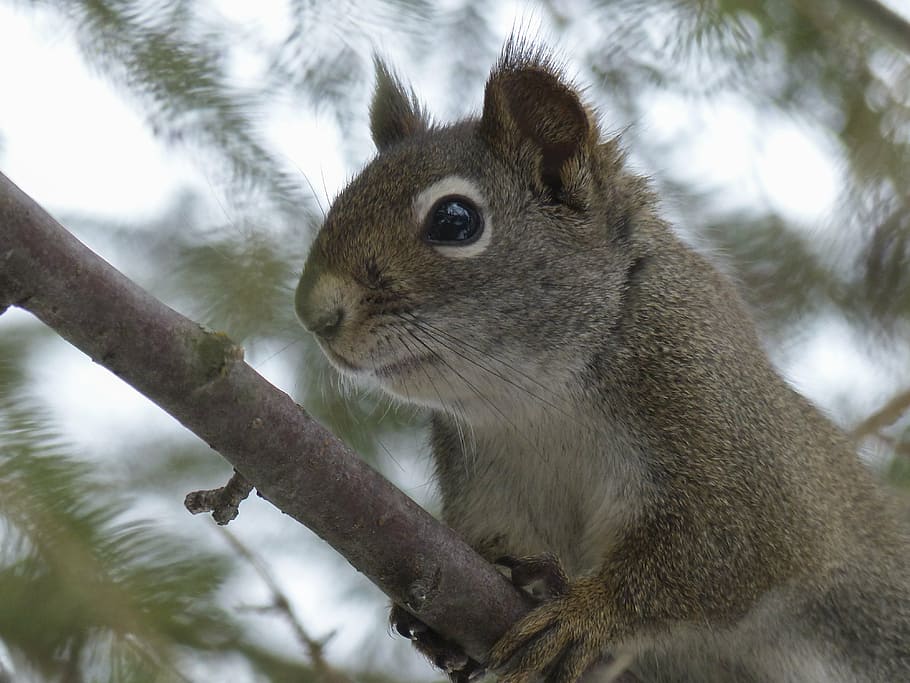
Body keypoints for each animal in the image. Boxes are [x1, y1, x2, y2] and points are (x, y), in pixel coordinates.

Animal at [294, 38, 910, 683]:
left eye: (454, 220)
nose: (314, 313)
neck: (539, 399)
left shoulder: (741, 460)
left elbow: (722, 556)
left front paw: (589, 612)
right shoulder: (490, 492)